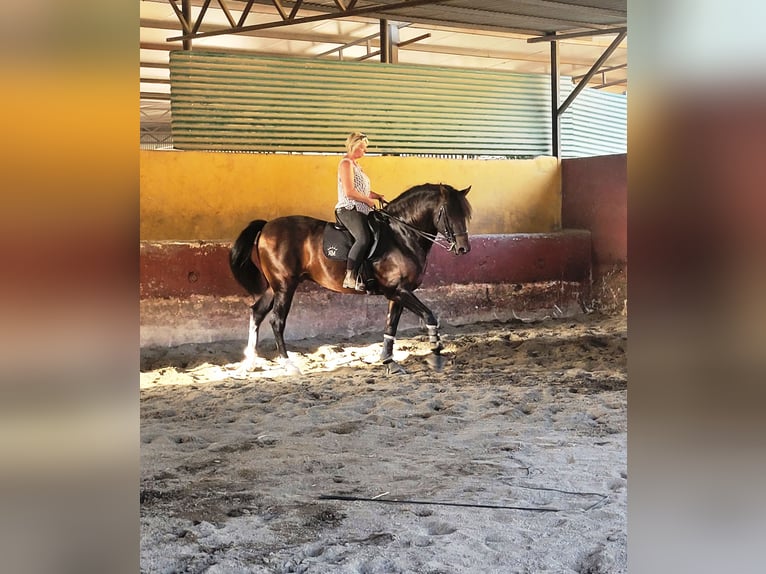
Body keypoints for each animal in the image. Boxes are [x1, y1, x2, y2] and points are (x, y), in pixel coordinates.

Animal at [228, 182, 472, 376]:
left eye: (466, 214)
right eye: (449, 213)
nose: (463, 248)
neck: (402, 235)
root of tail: (266, 226)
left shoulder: (397, 293)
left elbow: (391, 326)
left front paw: (389, 362)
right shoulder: (399, 290)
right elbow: (430, 316)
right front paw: (436, 353)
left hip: (275, 286)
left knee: (257, 312)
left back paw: (249, 362)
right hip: (285, 286)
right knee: (277, 321)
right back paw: (289, 366)